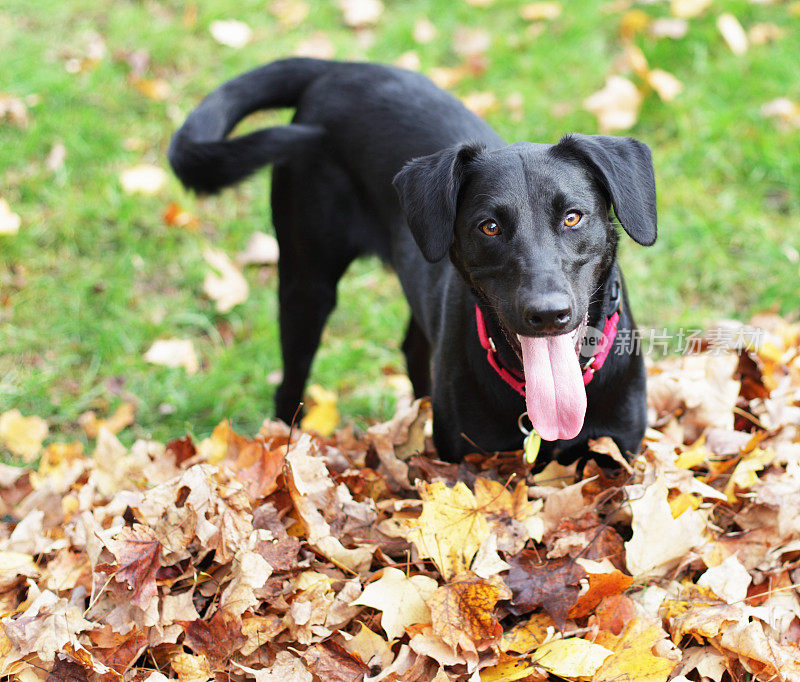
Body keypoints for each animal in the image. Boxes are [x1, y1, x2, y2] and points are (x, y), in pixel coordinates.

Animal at [170, 58, 656, 464]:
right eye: (489, 227)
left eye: (572, 216)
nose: (548, 313)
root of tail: (337, 68)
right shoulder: (466, 461)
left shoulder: (617, 453)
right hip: (306, 283)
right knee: (290, 383)